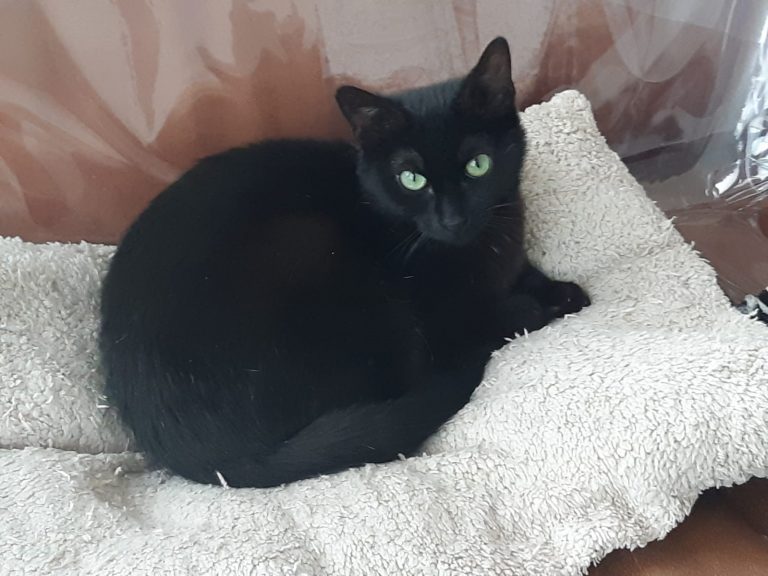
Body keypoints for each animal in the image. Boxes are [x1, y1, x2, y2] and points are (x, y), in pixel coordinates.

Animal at [99, 37, 590, 488]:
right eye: (411, 178)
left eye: (478, 165)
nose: (453, 219)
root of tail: (217, 462)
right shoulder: (443, 322)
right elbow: (489, 318)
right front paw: (535, 306)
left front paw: (564, 291)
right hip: (318, 252)